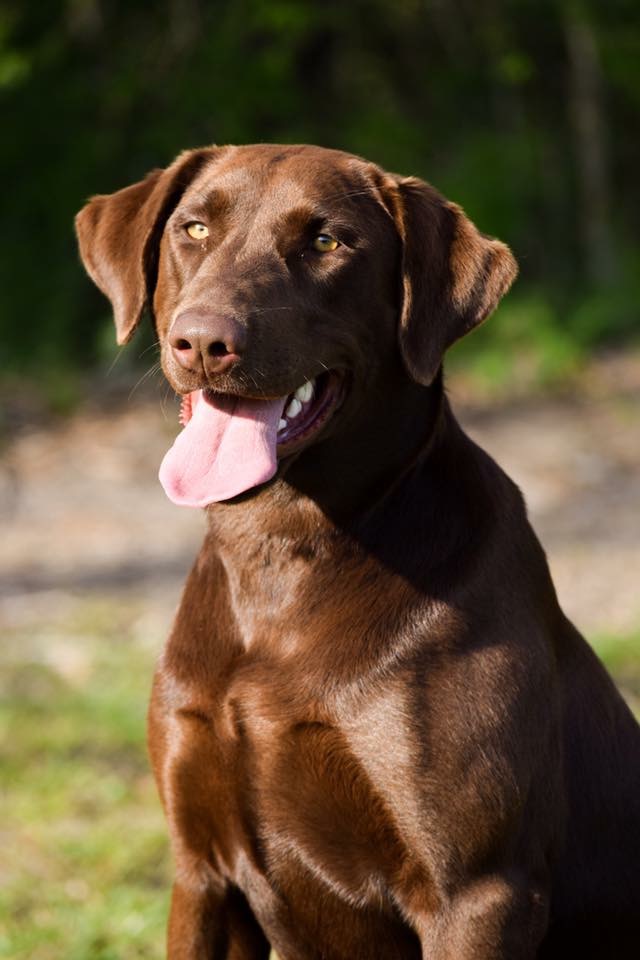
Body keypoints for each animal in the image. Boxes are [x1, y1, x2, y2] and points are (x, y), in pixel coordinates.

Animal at [76, 144, 640, 960]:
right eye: (194, 228)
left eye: (327, 242)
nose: (204, 341)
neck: (279, 557)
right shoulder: (200, 871)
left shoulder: (478, 893)